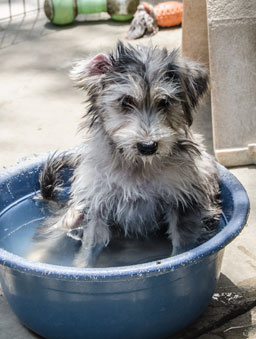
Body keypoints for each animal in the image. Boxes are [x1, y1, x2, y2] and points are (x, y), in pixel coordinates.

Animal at [27, 41, 221, 268]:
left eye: (165, 102)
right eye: (125, 101)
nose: (148, 146)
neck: (138, 165)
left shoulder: (183, 202)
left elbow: (182, 246)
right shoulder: (97, 205)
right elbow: (89, 248)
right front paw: (83, 267)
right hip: (71, 216)